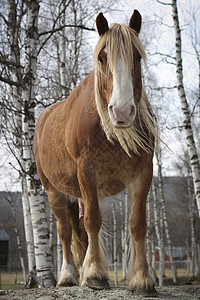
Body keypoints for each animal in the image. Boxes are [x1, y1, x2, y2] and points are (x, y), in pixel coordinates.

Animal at [34, 9, 158, 296]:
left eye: (137, 56)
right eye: (102, 58)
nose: (122, 111)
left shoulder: (143, 174)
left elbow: (138, 224)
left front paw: (142, 279)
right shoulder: (87, 173)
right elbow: (93, 221)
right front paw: (94, 275)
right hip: (54, 191)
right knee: (65, 230)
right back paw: (68, 275)